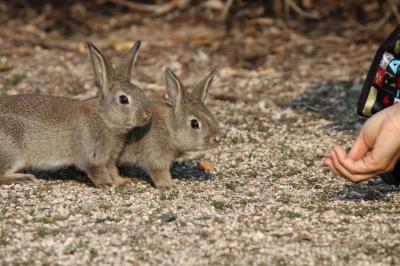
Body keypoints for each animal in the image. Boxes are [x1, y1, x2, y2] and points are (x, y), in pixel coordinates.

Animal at [0, 41, 152, 187]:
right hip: (13, 151)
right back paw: (24, 178)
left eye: (141, 91)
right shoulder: (91, 156)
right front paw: (107, 184)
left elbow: (112, 170)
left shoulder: (109, 158)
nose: (147, 114)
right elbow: (97, 171)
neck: (104, 118)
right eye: (123, 99)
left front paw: (122, 182)